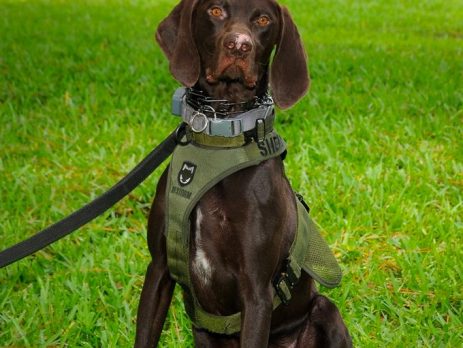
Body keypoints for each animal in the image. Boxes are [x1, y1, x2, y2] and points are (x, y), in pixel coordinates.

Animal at [136, 0, 354, 346]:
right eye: (215, 11)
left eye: (263, 20)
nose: (239, 45)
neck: (219, 143)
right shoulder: (159, 269)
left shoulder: (256, 292)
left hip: (325, 309)